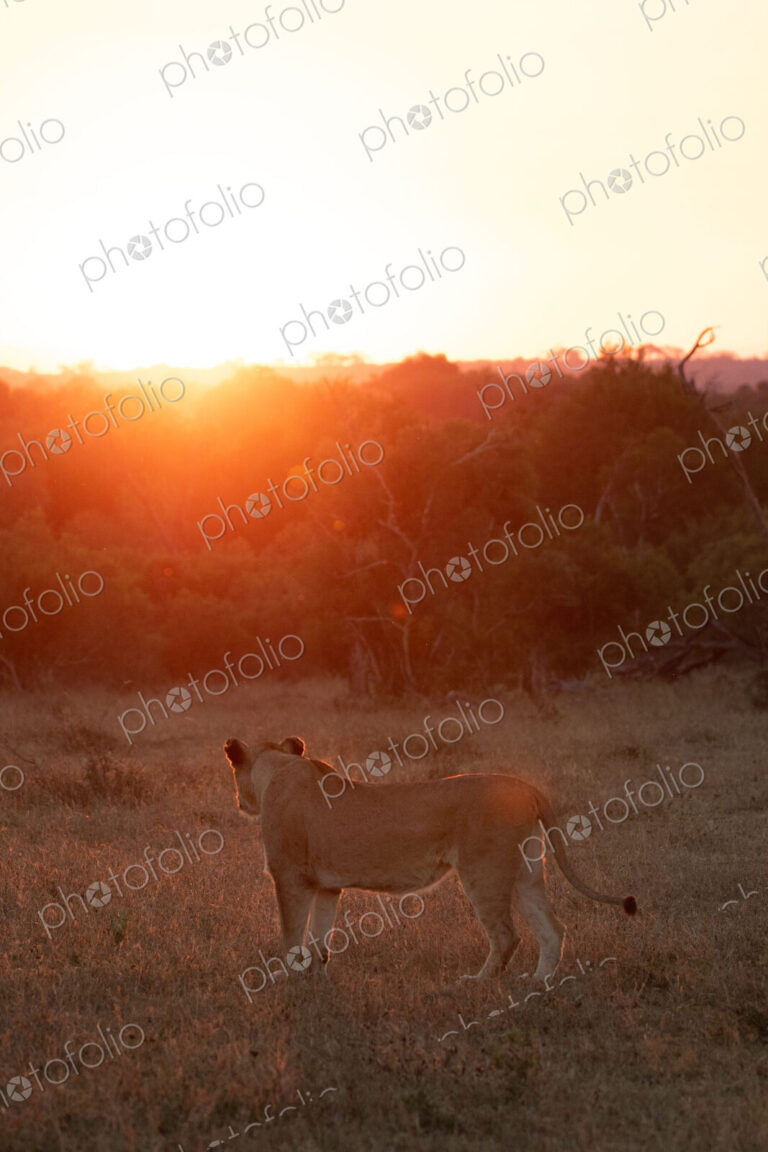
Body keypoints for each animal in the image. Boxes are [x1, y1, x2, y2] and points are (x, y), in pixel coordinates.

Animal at [223, 735, 636, 981]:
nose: (238, 802)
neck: (279, 766)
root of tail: (524, 785)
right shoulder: (327, 887)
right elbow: (318, 937)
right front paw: (317, 978)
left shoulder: (289, 877)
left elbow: (292, 934)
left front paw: (289, 979)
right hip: (527, 872)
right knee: (553, 929)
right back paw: (537, 984)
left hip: (483, 872)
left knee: (507, 935)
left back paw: (478, 982)